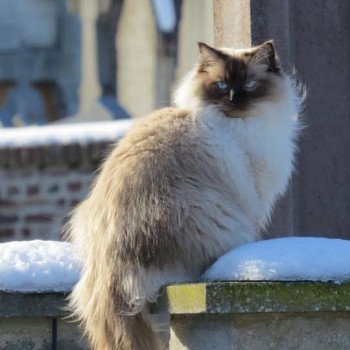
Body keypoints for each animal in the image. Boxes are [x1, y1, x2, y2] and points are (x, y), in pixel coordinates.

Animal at [68, 41, 304, 350]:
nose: (234, 100)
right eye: (221, 85)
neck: (241, 125)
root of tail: (109, 265)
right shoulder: (252, 197)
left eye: (250, 85)